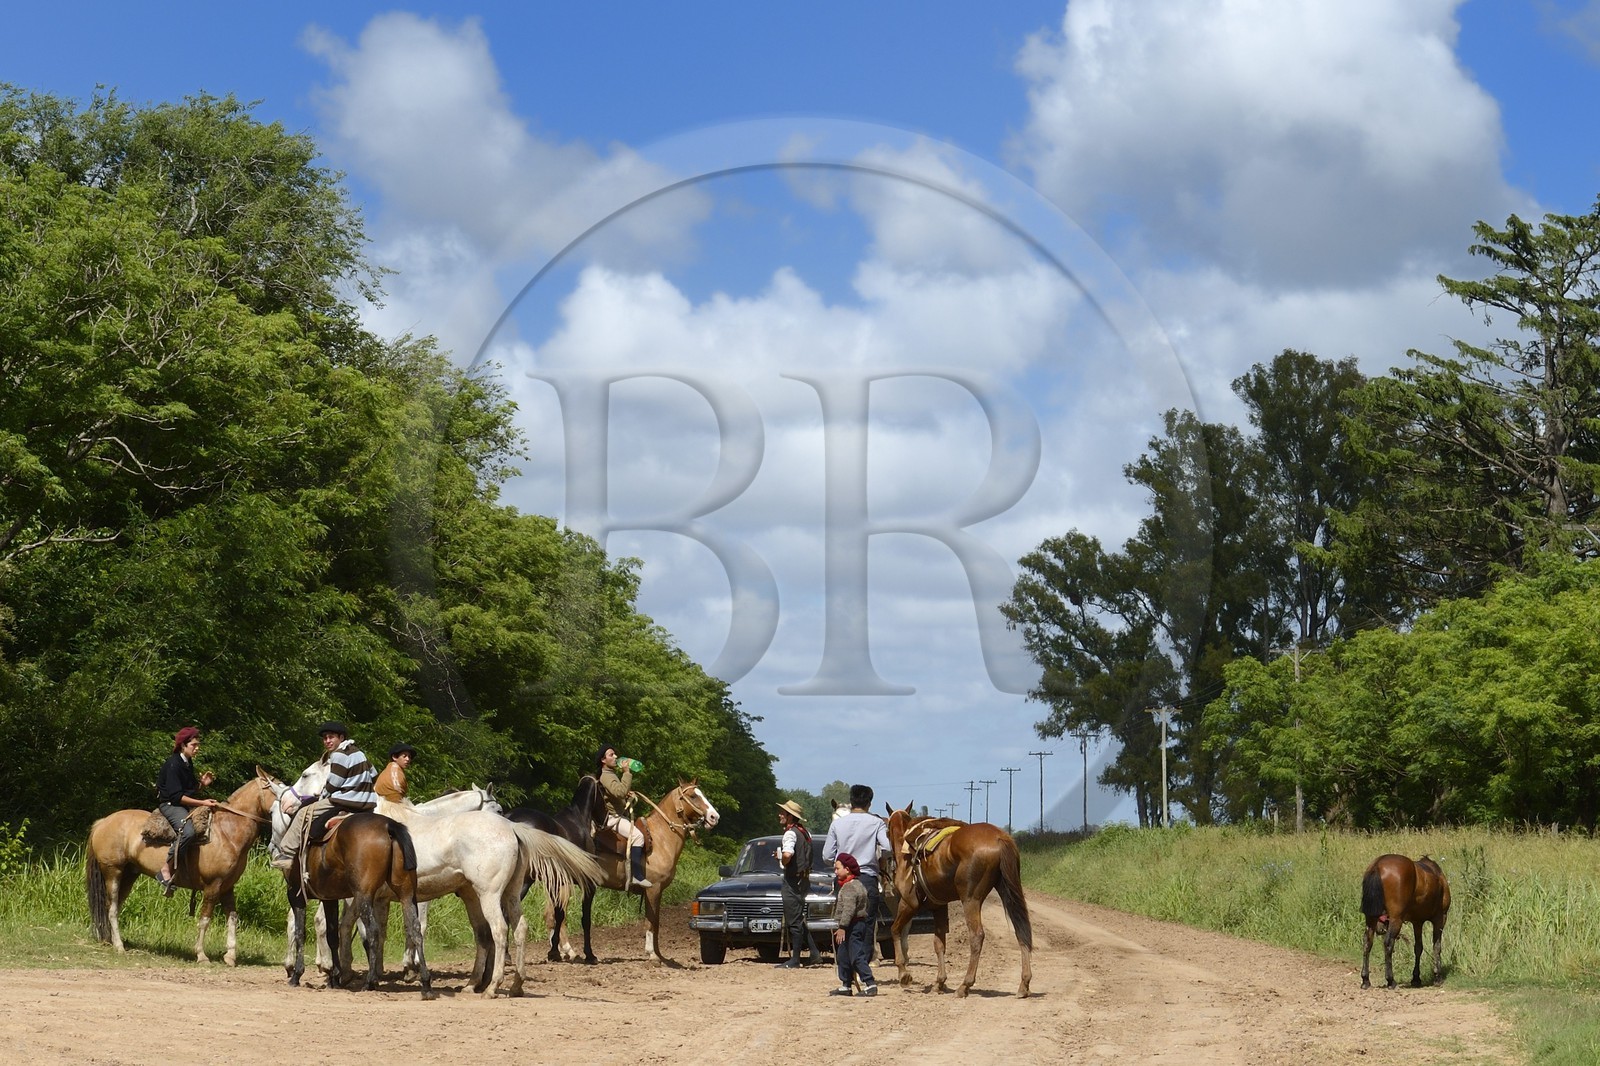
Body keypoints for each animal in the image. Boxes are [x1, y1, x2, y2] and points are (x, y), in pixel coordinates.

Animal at [86, 767, 281, 964]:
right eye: (278, 789)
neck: (227, 833)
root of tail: (103, 822)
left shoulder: (227, 887)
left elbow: (232, 918)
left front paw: (230, 956)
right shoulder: (213, 885)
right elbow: (205, 920)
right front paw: (201, 955)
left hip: (129, 874)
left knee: (115, 905)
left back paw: (112, 941)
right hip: (113, 872)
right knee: (111, 907)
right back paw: (119, 946)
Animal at [504, 774, 605, 962]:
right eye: (603, 790)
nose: (605, 818)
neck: (579, 818)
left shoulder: (556, 883)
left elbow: (558, 915)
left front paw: (555, 951)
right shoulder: (587, 883)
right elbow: (582, 918)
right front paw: (588, 954)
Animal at [515, 779, 719, 963]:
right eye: (693, 796)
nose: (714, 817)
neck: (659, 838)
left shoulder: (658, 892)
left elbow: (656, 922)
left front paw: (660, 955)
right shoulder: (653, 889)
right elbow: (651, 921)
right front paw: (652, 954)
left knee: (551, 916)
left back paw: (563, 952)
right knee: (556, 916)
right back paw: (568, 951)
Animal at [883, 804, 1033, 998]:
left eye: (886, 831)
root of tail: (1000, 838)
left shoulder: (909, 903)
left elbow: (895, 930)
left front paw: (903, 973)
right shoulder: (939, 906)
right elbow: (939, 944)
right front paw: (939, 982)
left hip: (970, 899)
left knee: (977, 936)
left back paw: (965, 985)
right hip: (1008, 891)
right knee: (1021, 931)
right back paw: (1024, 984)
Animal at [1360, 853, 1451, 989]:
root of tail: (1377, 865)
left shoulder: (1417, 922)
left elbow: (1418, 948)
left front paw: (1416, 978)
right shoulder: (1440, 918)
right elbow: (1437, 947)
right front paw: (1437, 977)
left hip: (1371, 918)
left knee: (1367, 943)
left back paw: (1365, 979)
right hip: (1396, 919)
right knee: (1388, 943)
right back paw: (1391, 980)